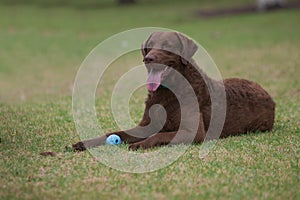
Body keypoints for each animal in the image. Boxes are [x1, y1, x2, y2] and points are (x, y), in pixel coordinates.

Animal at [72, 31, 274, 151]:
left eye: (167, 46)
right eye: (149, 46)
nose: (148, 58)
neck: (167, 91)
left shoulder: (193, 132)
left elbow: (158, 135)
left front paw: (138, 144)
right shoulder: (146, 125)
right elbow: (117, 133)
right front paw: (84, 143)